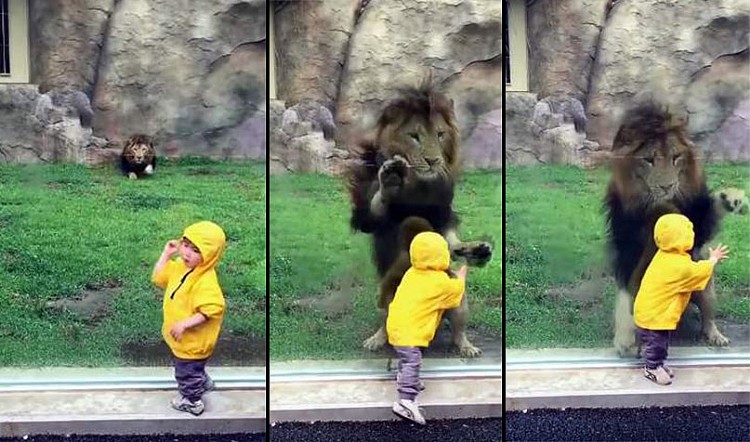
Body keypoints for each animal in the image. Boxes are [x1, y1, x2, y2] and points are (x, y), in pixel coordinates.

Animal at [346, 80, 493, 357]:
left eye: (440, 135)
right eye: (414, 136)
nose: (433, 160)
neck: (419, 187)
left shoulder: (443, 214)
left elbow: (451, 241)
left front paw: (476, 249)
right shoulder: (373, 217)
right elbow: (377, 206)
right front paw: (390, 178)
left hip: (459, 300)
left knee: (458, 330)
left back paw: (467, 346)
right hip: (387, 297)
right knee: (386, 322)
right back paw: (377, 340)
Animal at [604, 102, 728, 357]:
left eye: (676, 157)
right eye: (649, 160)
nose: (667, 186)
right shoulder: (627, 247)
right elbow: (625, 296)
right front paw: (624, 340)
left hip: (707, 283)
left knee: (708, 316)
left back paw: (715, 336)